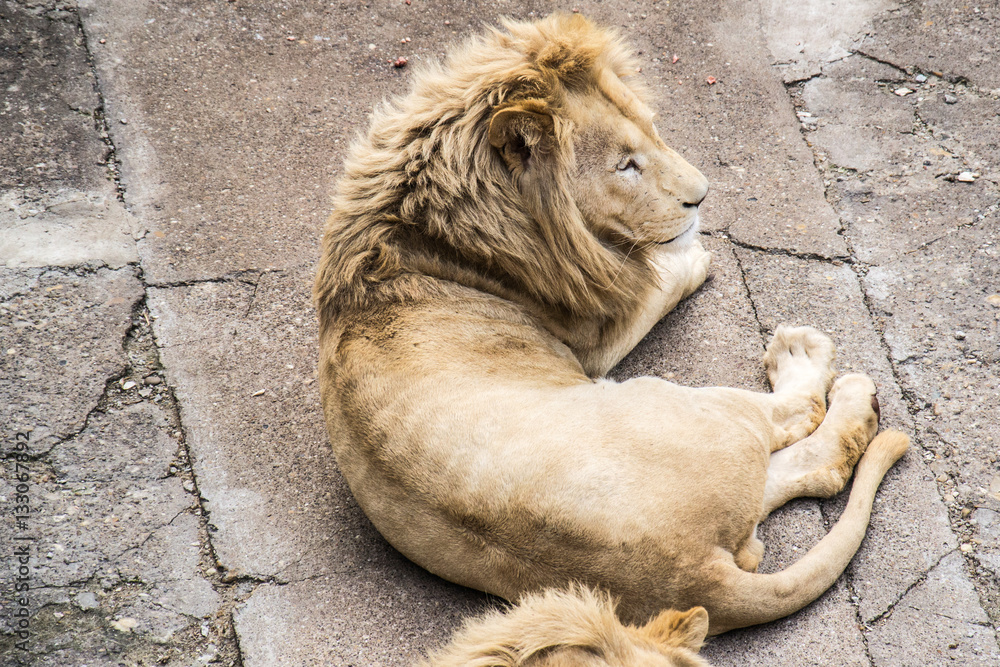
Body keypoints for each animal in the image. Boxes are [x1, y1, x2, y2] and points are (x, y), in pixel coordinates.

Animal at [314, 11, 908, 652]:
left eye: (652, 130)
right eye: (626, 165)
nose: (701, 196)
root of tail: (697, 574)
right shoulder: (597, 332)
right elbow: (654, 280)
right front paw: (690, 255)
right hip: (680, 401)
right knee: (805, 422)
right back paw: (817, 366)